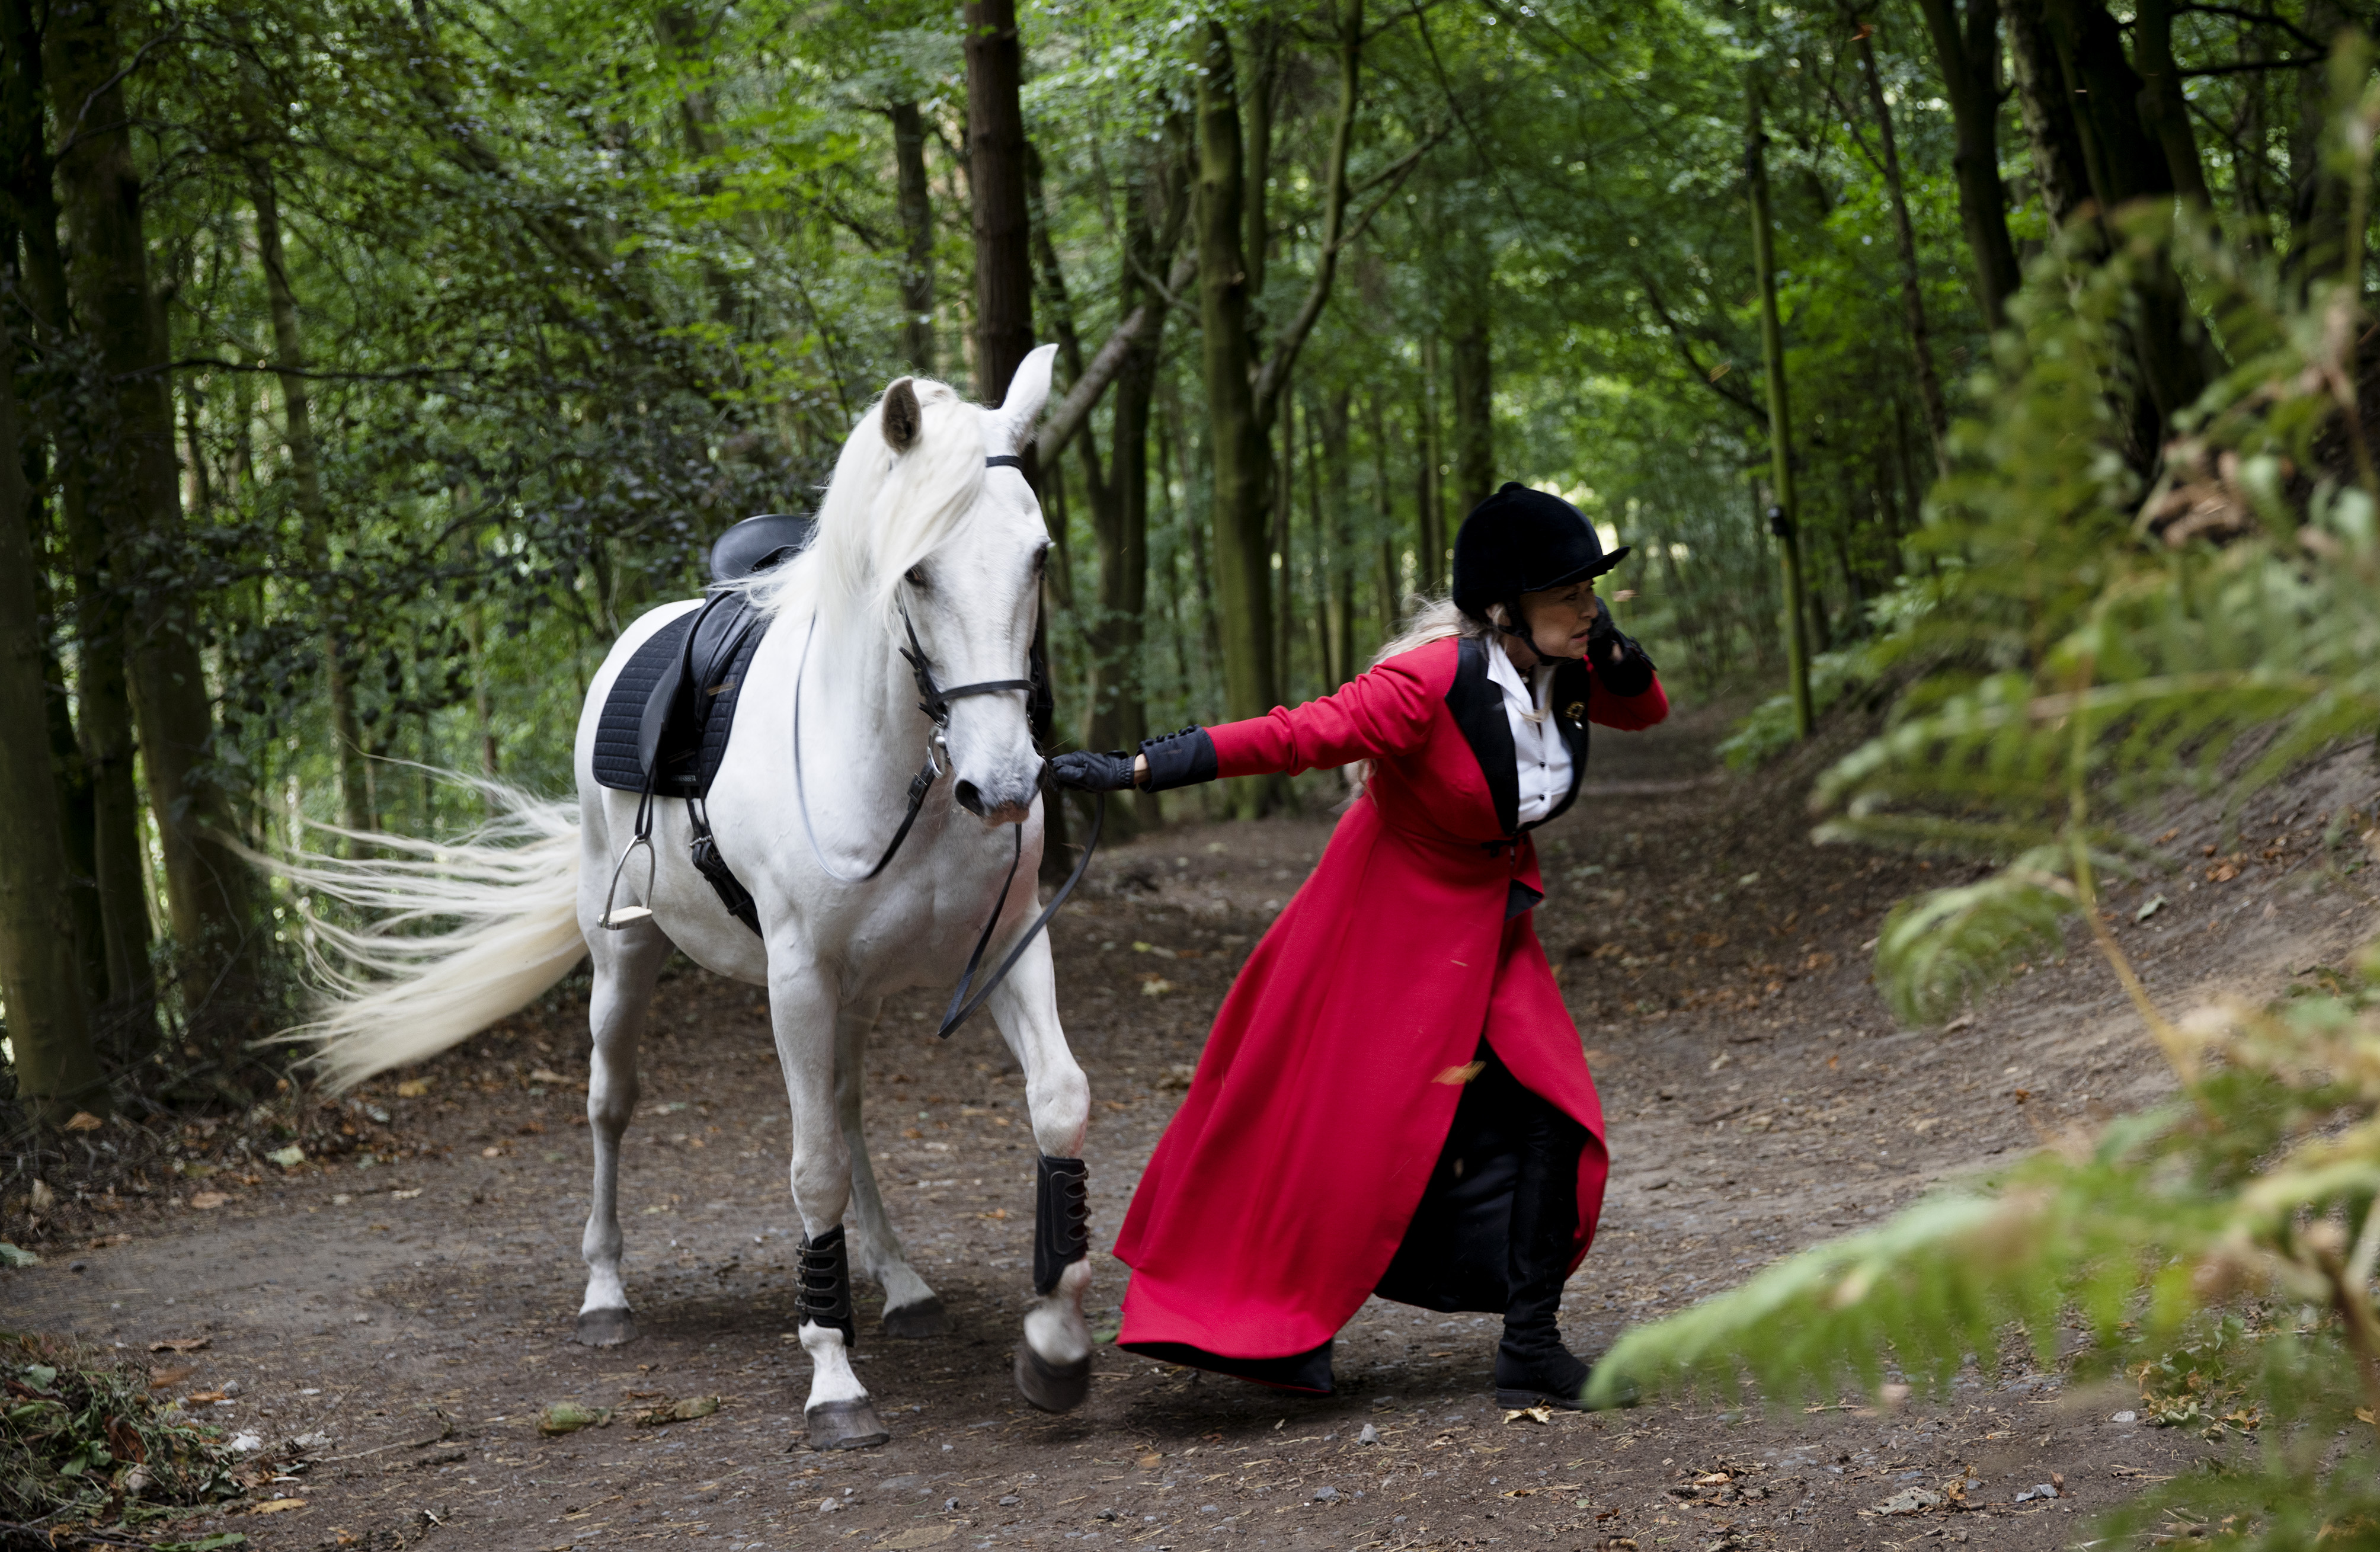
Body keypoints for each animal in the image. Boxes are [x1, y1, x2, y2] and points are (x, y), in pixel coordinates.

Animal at [273, 345, 1090, 1447]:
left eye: (1038, 556)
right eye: (916, 569)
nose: (1002, 785)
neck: (896, 770)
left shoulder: (1005, 947)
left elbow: (1057, 1105)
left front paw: (1054, 1339)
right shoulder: (798, 978)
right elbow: (811, 1166)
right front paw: (832, 1374)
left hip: (854, 993)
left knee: (847, 1107)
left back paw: (902, 1280)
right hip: (625, 958)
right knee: (612, 1103)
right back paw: (606, 1292)